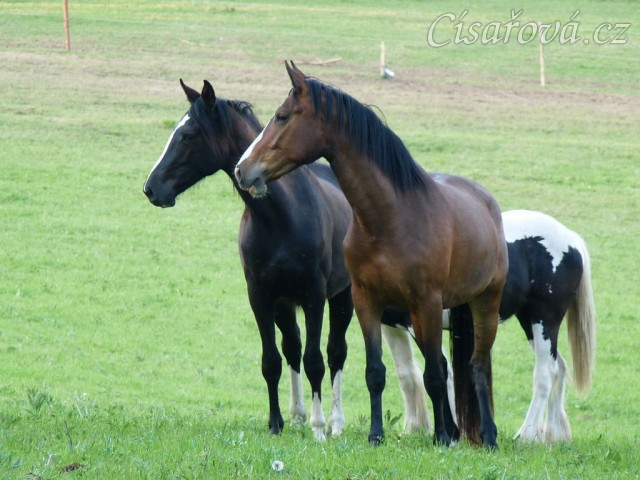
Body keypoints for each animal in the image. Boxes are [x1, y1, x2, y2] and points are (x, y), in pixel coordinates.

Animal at [142, 79, 438, 440]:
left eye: (188, 135)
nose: (151, 188)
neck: (281, 217)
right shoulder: (261, 297)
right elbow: (272, 361)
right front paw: (276, 423)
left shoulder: (314, 297)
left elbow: (316, 360)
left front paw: (319, 427)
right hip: (285, 304)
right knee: (292, 348)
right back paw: (297, 415)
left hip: (342, 299)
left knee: (335, 353)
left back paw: (335, 422)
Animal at [235, 61, 508, 448]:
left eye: (282, 116)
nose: (243, 169)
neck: (389, 219)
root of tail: (486, 201)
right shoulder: (367, 302)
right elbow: (375, 372)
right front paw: (376, 434)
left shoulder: (426, 303)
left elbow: (434, 376)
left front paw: (441, 436)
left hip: (484, 304)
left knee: (477, 368)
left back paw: (487, 436)